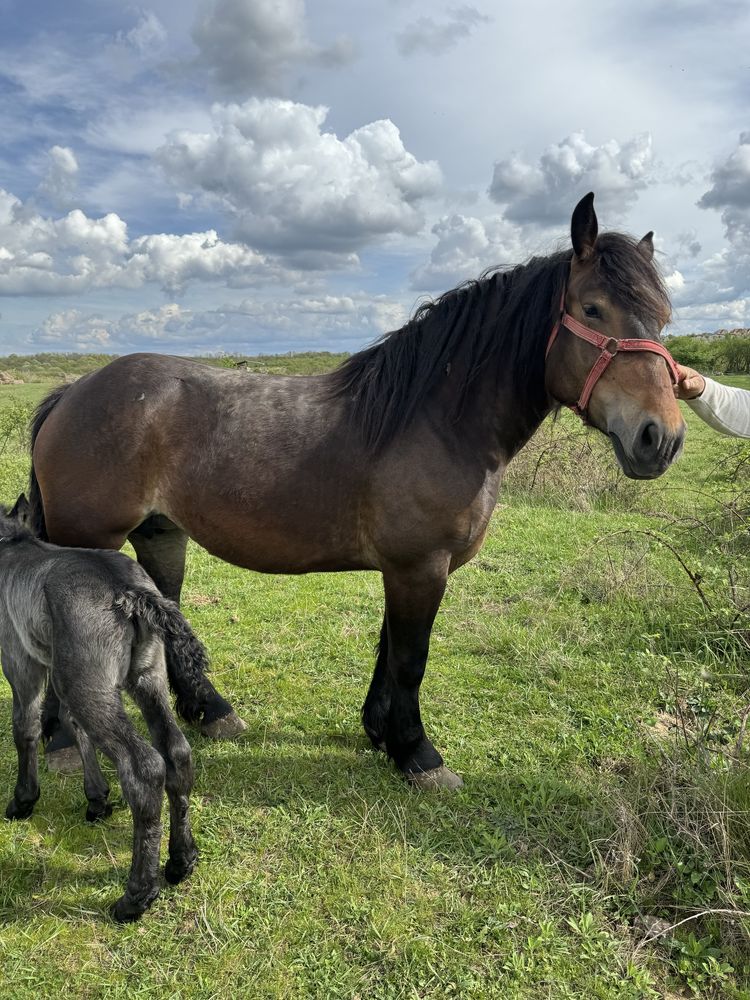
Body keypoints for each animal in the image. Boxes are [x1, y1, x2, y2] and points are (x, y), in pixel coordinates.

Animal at [0, 494, 200, 920]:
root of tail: (129, 590)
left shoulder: (20, 659)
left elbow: (25, 726)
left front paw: (23, 799)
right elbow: (72, 724)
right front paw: (96, 799)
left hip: (87, 683)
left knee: (144, 768)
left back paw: (136, 895)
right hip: (144, 678)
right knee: (176, 752)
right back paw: (181, 861)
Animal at [27, 193, 688, 788]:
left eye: (660, 319)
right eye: (594, 309)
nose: (660, 438)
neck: (437, 421)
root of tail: (73, 392)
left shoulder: (409, 569)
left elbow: (388, 649)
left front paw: (380, 734)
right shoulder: (420, 566)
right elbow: (411, 658)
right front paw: (419, 754)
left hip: (161, 535)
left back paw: (211, 713)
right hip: (89, 539)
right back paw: (63, 745)